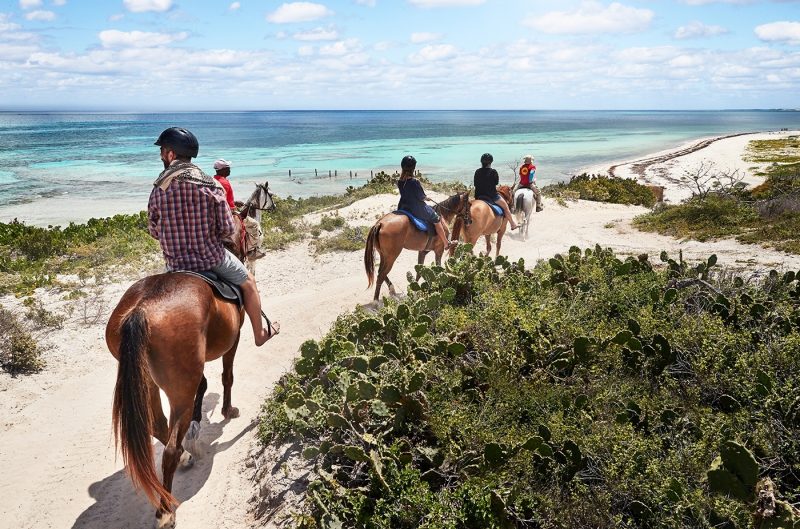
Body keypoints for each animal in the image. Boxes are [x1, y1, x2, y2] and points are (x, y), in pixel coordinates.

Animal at [104, 276, 247, 524]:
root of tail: (142, 309)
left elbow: (204, 384)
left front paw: (198, 422)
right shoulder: (234, 338)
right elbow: (227, 375)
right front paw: (228, 410)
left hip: (149, 382)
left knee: (158, 425)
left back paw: (185, 457)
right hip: (180, 387)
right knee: (170, 449)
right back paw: (165, 512)